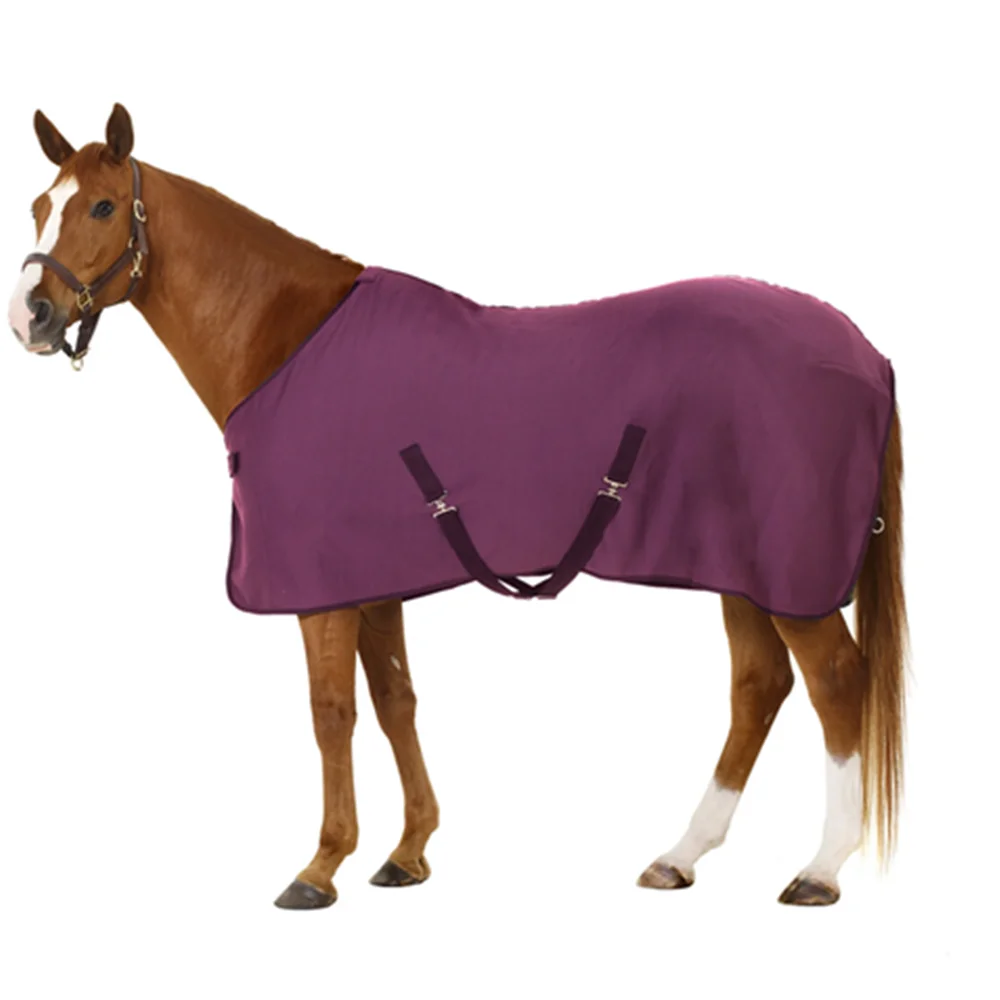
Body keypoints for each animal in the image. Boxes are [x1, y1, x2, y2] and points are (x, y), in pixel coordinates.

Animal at [8, 104, 907, 909]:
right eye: (38, 206)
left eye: (102, 206)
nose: (30, 316)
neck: (286, 339)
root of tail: (867, 353)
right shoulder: (373, 583)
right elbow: (395, 701)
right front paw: (407, 854)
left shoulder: (321, 590)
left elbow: (333, 712)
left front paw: (320, 867)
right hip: (740, 569)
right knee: (759, 686)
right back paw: (679, 856)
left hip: (789, 574)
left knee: (835, 681)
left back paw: (821, 869)